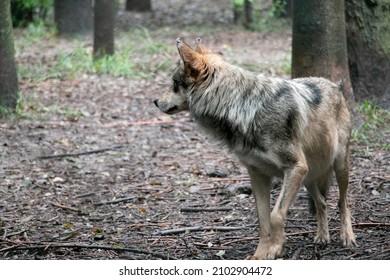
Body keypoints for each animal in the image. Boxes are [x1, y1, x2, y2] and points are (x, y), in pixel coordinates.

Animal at [154, 37, 354, 260]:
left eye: (173, 84)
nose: (155, 102)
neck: (244, 106)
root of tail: (335, 85)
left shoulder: (295, 168)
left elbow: (276, 215)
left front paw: (276, 249)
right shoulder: (258, 174)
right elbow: (263, 221)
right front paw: (260, 255)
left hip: (337, 166)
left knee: (343, 202)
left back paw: (347, 237)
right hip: (308, 176)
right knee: (322, 202)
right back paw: (321, 236)